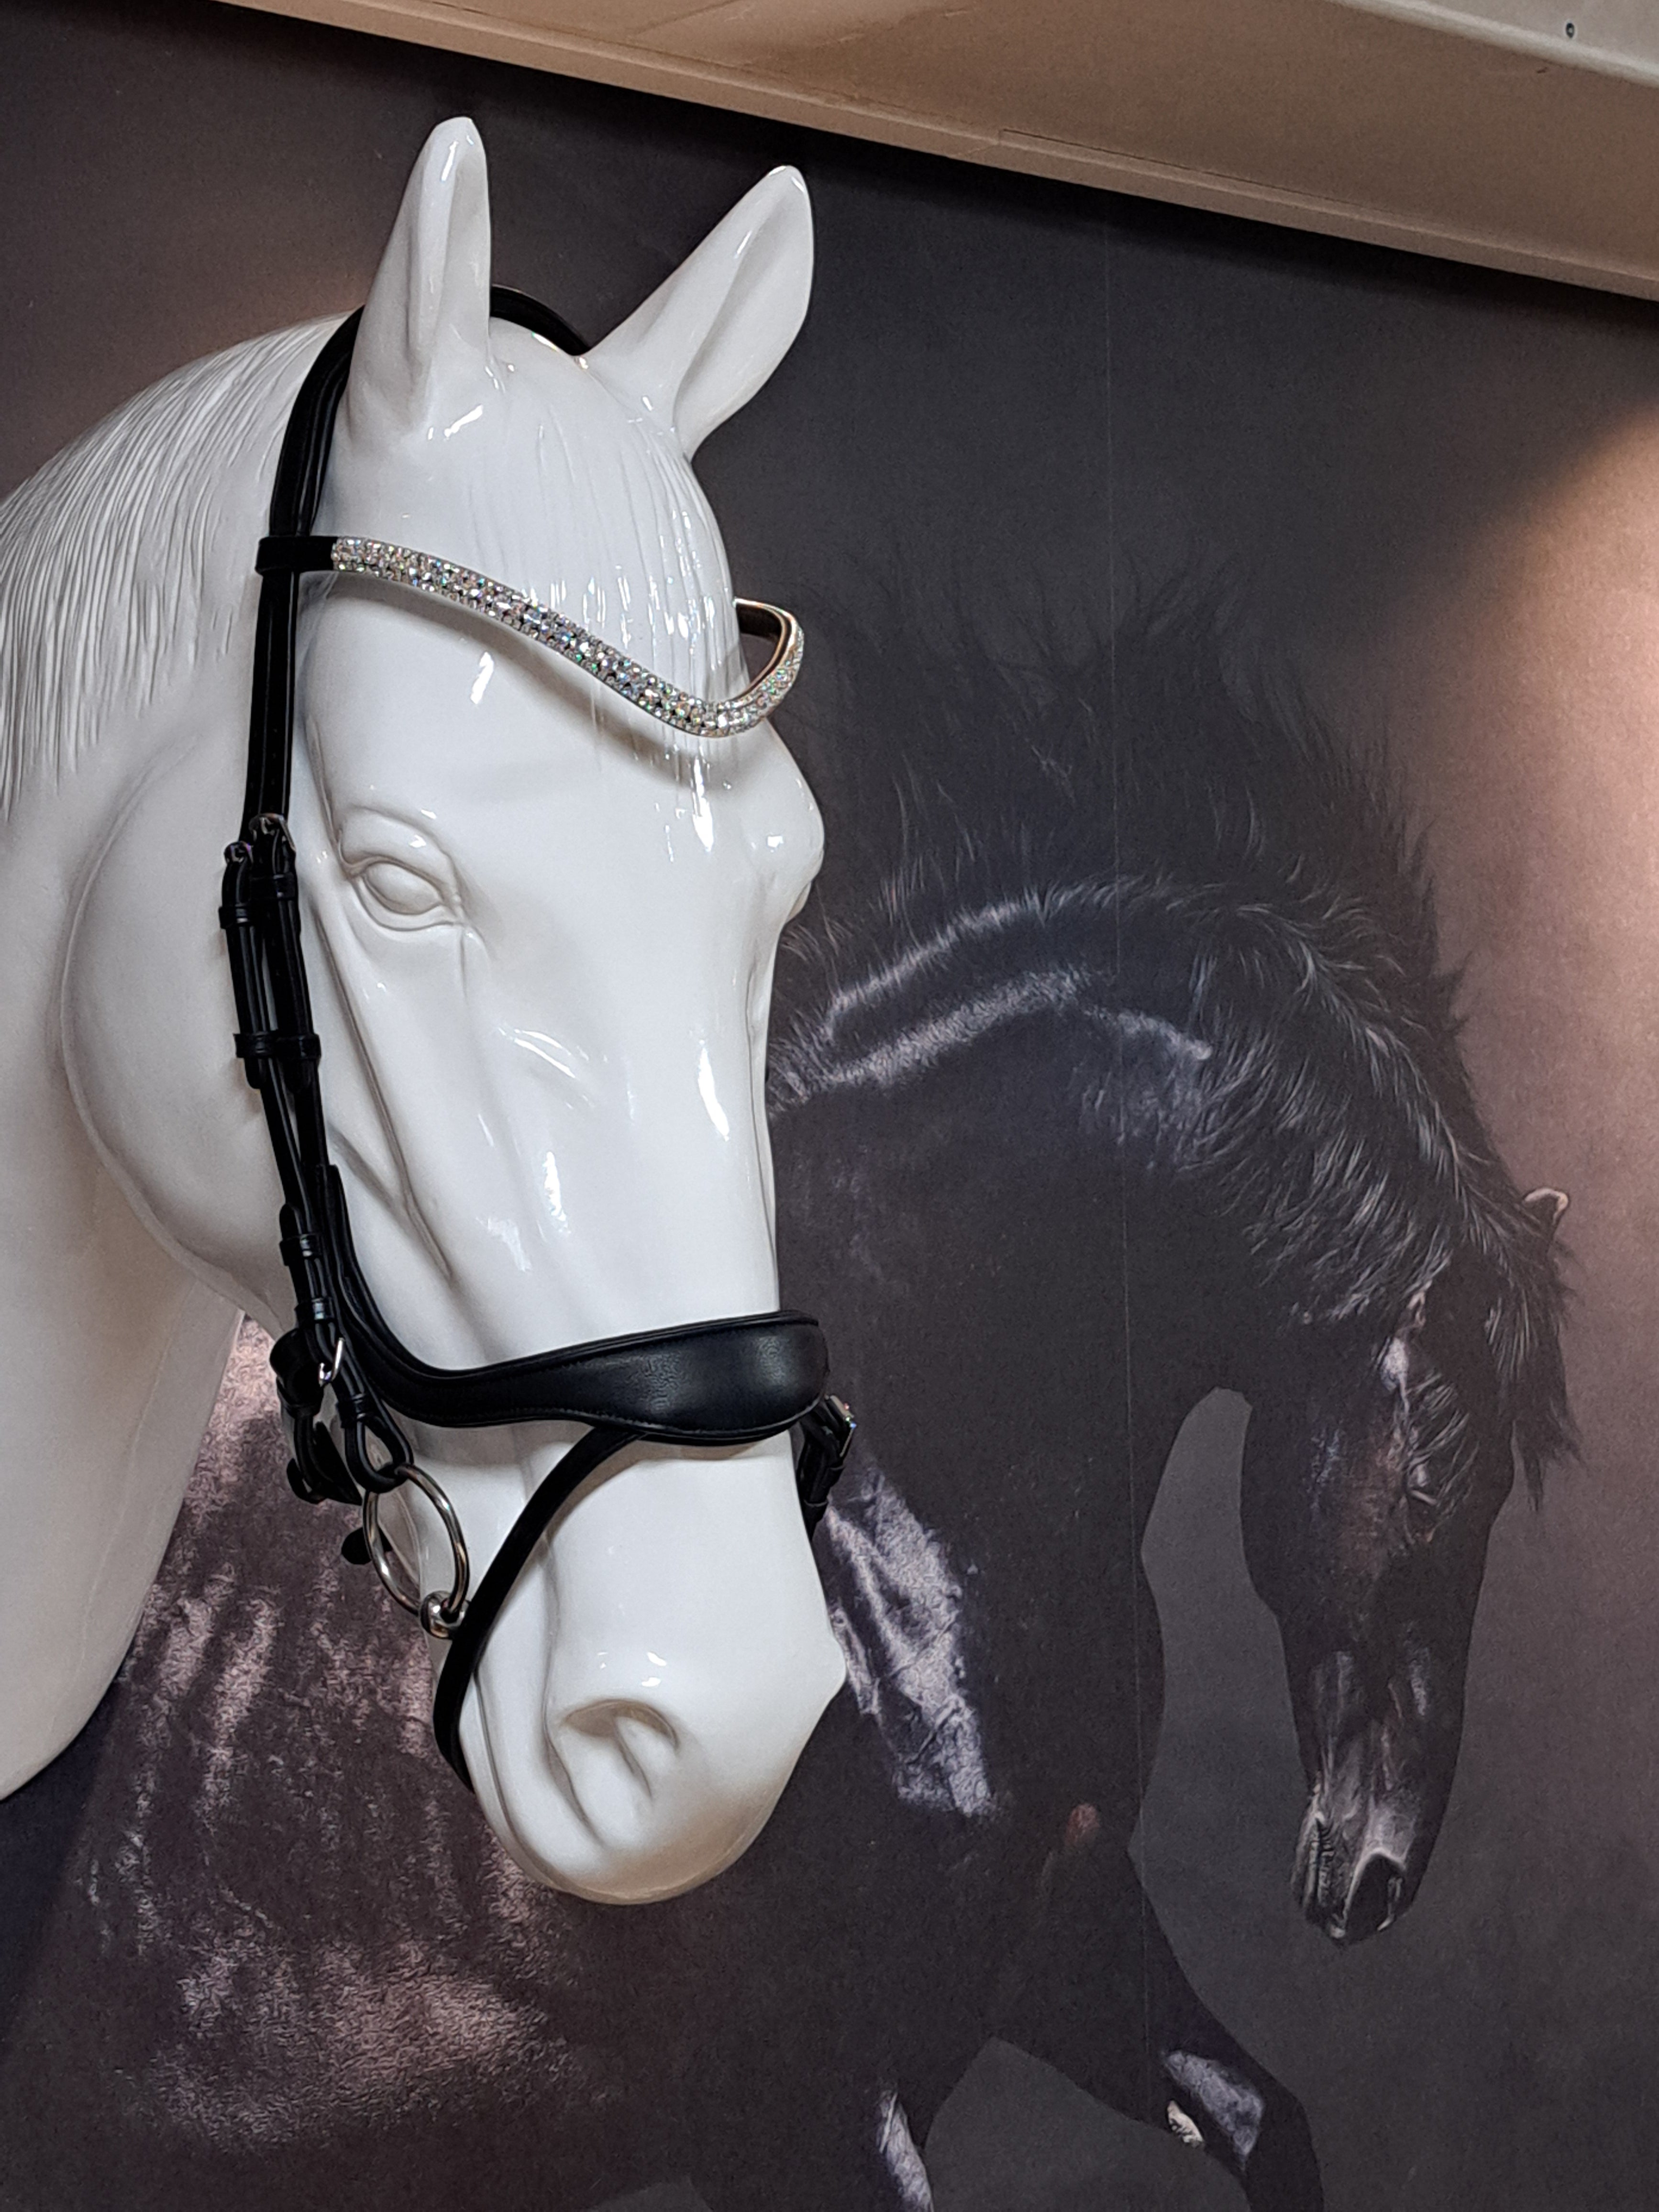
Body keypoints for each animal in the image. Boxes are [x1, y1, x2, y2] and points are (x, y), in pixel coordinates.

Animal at [0, 604, 1570, 2212]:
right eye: (1432, 1487)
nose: (1373, 1874)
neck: (894, 1523)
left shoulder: (1058, 1935)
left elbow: (1267, 2122)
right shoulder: (801, 2100)